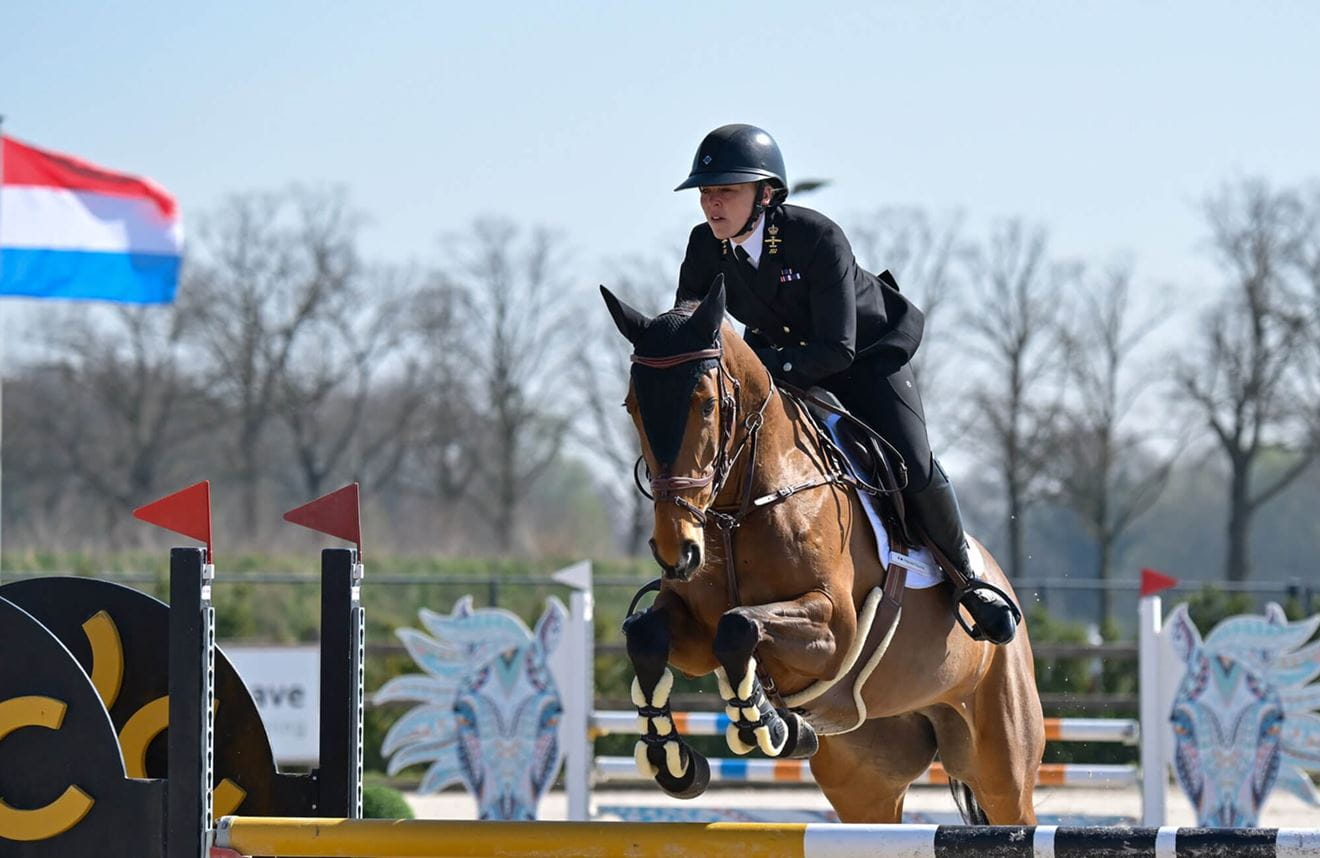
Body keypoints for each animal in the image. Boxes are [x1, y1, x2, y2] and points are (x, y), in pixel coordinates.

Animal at [601, 278, 1044, 824]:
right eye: (632, 405)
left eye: (705, 404)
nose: (676, 549)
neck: (739, 507)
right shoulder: (694, 630)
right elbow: (650, 634)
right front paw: (672, 756)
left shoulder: (834, 627)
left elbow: (739, 626)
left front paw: (766, 723)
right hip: (865, 780)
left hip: (1002, 765)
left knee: (1012, 805)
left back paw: (985, 607)